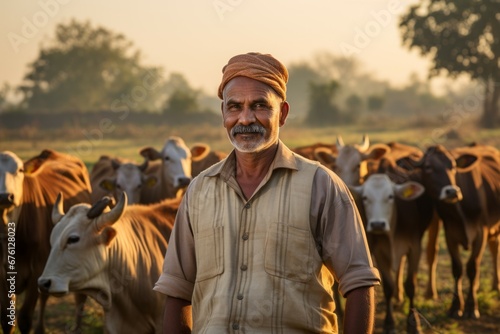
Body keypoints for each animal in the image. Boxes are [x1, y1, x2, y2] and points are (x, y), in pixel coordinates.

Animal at [0, 150, 92, 334]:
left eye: (20, 170)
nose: (5, 196)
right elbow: (7, 322)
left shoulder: (37, 269)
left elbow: (25, 319)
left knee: (78, 298)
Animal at [350, 174, 428, 332]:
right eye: (365, 197)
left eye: (391, 196)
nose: (377, 225)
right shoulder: (379, 252)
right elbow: (388, 287)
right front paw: (389, 323)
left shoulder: (415, 249)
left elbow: (411, 285)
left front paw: (414, 324)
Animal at [412, 145, 500, 320]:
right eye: (428, 167)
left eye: (453, 166)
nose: (452, 192)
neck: (461, 213)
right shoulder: (450, 234)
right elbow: (457, 268)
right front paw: (455, 307)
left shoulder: (481, 232)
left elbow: (472, 267)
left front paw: (472, 308)